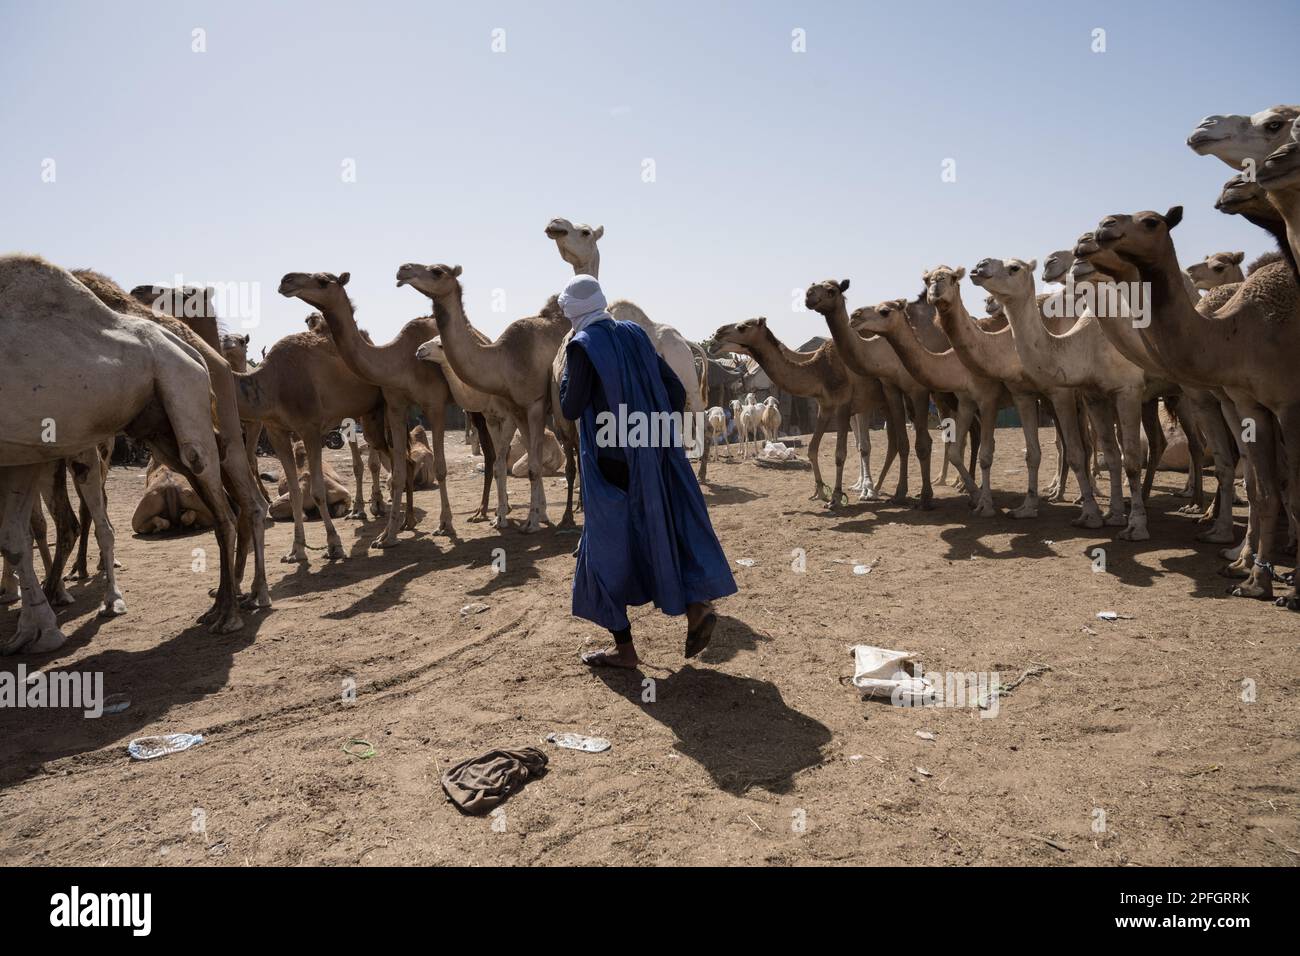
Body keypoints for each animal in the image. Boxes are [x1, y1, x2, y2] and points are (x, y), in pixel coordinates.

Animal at [1, 257, 240, 655]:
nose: (141, 289)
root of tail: (196, 354)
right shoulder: (21, 453)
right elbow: (13, 540)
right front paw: (32, 631)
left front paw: (42, 626)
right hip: (157, 430)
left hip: (180, 390)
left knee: (218, 501)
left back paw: (227, 615)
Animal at [392, 264, 577, 530]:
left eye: (437, 271)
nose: (402, 270)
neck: (504, 360)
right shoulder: (511, 411)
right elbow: (511, 463)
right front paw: (510, 517)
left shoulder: (532, 406)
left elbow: (529, 465)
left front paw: (530, 521)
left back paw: (571, 515)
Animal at [546, 221, 717, 481]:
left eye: (585, 232)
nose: (555, 224)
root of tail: (687, 343)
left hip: (688, 381)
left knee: (701, 422)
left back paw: (701, 473)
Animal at [712, 317, 894, 509]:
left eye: (742, 327)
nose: (717, 335)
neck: (820, 371)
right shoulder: (826, 406)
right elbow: (813, 449)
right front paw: (820, 491)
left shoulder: (845, 406)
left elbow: (841, 453)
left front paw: (837, 497)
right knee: (882, 443)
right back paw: (870, 487)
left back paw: (873, 490)